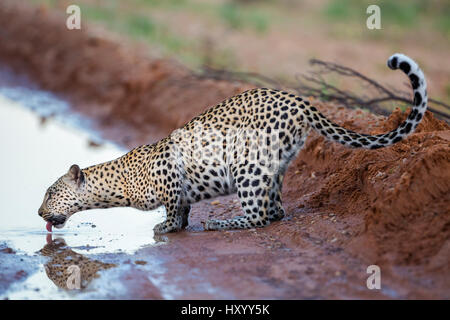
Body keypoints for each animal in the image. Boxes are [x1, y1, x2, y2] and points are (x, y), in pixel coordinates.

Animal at [37, 53, 426, 235]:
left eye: (50, 192)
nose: (39, 213)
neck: (118, 182)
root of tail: (300, 101)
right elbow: (183, 207)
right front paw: (177, 225)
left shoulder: (170, 172)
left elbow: (173, 207)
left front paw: (168, 227)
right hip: (273, 167)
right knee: (276, 211)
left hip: (246, 165)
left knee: (260, 215)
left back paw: (221, 224)